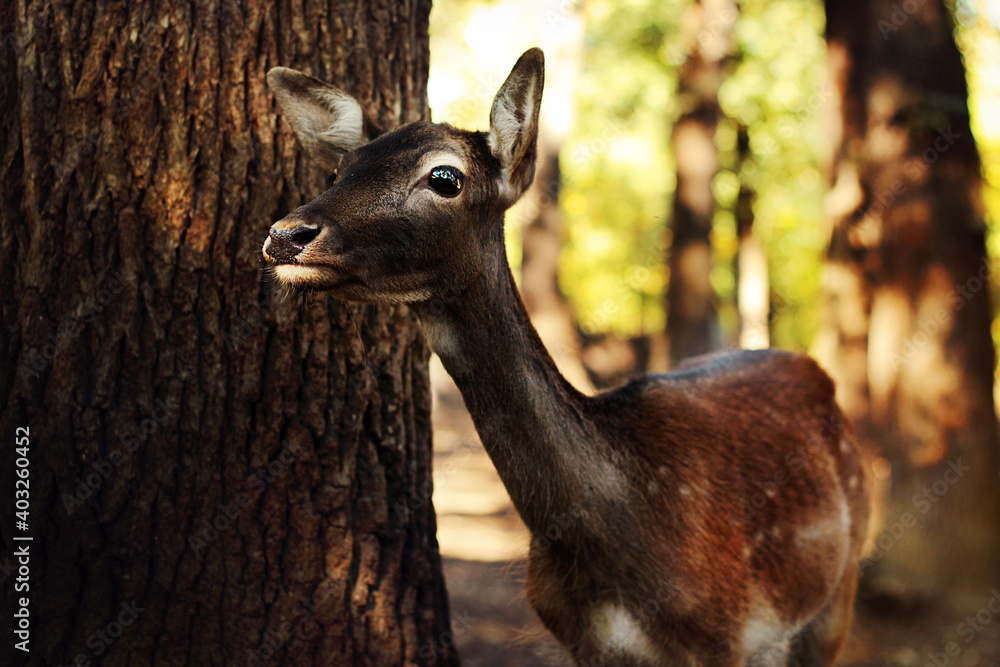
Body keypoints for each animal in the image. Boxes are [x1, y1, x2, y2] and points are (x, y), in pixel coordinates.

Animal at [262, 48, 870, 667]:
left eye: (444, 176)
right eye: (339, 171)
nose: (286, 235)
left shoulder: (722, 634)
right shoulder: (578, 639)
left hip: (839, 588)